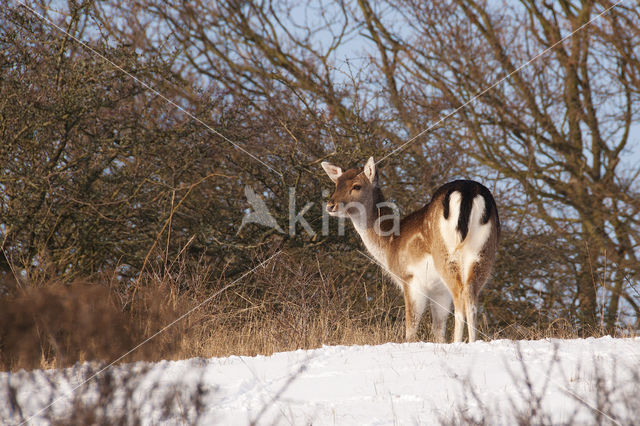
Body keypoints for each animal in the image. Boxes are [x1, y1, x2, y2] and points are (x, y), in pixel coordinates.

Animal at [320, 157, 500, 342]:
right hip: (483, 253)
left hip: (445, 255)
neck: (390, 244)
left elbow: (411, 328)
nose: (330, 205)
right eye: (337, 184)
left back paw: (457, 342)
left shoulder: (411, 278)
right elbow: (438, 329)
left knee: (460, 296)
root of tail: (468, 191)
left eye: (356, 186)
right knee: (471, 298)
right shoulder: (439, 290)